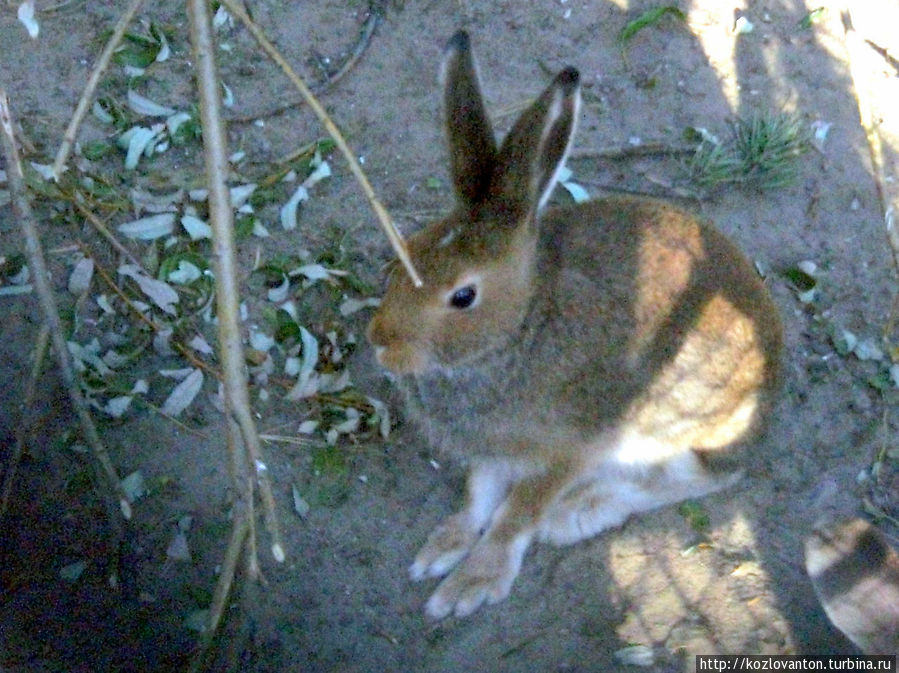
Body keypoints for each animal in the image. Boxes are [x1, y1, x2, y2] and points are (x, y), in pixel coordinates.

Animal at [370, 31, 784, 620]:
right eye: (406, 252)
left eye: (463, 296)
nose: (380, 343)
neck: (519, 330)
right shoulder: (493, 452)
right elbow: (478, 496)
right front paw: (443, 547)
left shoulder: (568, 449)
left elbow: (516, 515)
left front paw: (471, 583)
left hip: (675, 428)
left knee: (701, 479)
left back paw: (577, 513)